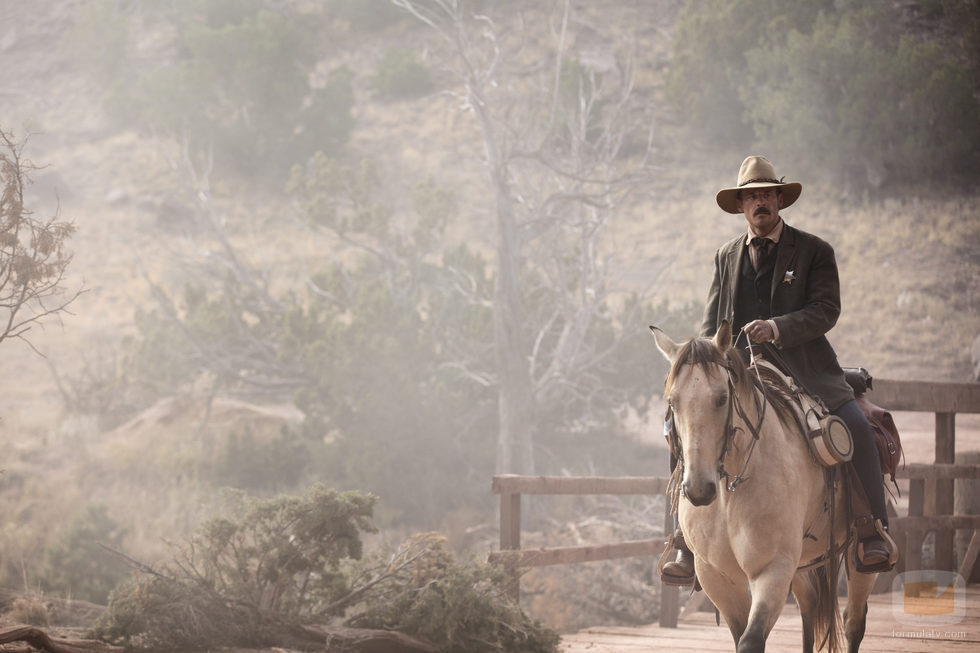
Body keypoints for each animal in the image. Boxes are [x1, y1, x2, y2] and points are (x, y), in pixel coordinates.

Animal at [656, 322, 876, 652]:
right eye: (673, 401)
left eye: (722, 398)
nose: (698, 490)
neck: (729, 495)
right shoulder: (716, 576)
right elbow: (740, 636)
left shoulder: (773, 569)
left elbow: (751, 640)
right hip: (802, 561)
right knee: (810, 603)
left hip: (856, 558)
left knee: (854, 621)